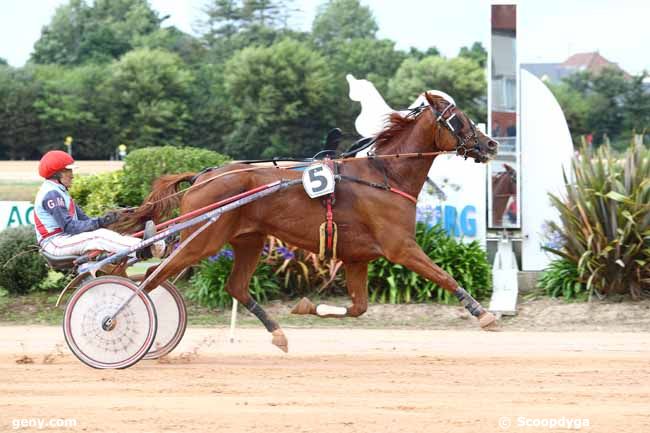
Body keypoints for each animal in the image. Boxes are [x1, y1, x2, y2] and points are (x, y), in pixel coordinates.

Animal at [119, 91, 498, 352]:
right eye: (459, 120)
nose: (491, 144)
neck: (386, 175)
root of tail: (202, 177)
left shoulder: (357, 257)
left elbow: (358, 308)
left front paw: (305, 306)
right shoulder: (401, 247)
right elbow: (445, 276)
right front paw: (484, 314)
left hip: (248, 240)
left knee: (235, 287)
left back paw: (278, 334)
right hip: (203, 239)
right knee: (152, 277)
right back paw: (119, 321)